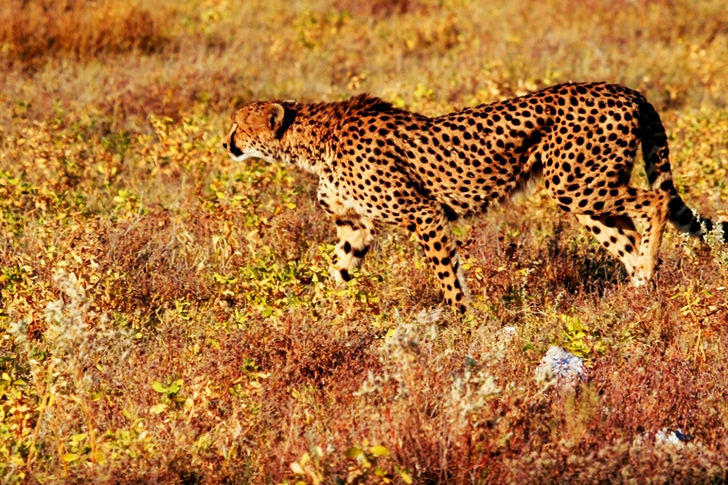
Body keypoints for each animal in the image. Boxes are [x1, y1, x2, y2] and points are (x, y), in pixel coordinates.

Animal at [223, 82, 727, 314]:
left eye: (238, 126)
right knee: (625, 235)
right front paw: (321, 315)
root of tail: (625, 89)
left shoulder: (423, 213)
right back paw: (637, 292)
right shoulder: (355, 225)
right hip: (583, 195)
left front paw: (463, 322)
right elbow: (338, 271)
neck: (311, 142)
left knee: (654, 202)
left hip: (578, 183)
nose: (227, 144)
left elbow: (448, 277)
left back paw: (647, 271)